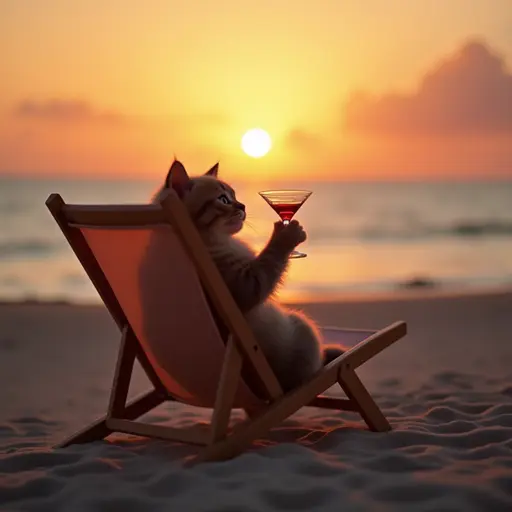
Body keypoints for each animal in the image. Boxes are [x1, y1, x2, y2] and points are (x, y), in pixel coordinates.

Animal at [152, 160, 344, 392]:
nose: (242, 206)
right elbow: (271, 258)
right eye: (224, 200)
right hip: (302, 326)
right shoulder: (245, 286)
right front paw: (287, 233)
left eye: (234, 196)